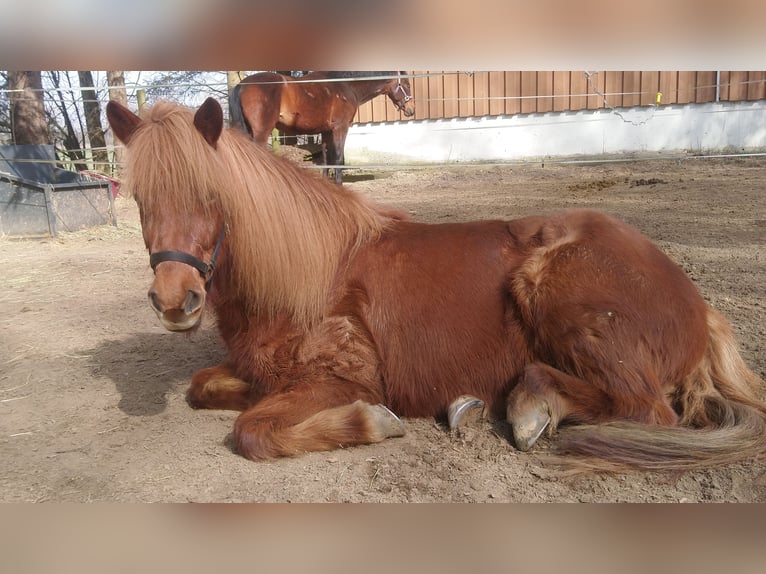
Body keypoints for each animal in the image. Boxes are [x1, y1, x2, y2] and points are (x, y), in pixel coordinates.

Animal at [106, 97, 766, 472]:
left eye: (211, 196)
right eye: (140, 199)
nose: (175, 301)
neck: (306, 277)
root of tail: (699, 306)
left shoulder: (339, 379)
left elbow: (252, 431)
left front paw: (372, 423)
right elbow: (201, 386)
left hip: (560, 298)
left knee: (644, 408)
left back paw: (530, 406)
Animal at [229, 71, 415, 184]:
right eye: (406, 84)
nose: (411, 109)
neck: (344, 86)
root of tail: (241, 86)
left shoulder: (325, 132)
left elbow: (326, 160)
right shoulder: (340, 128)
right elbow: (338, 159)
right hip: (261, 133)